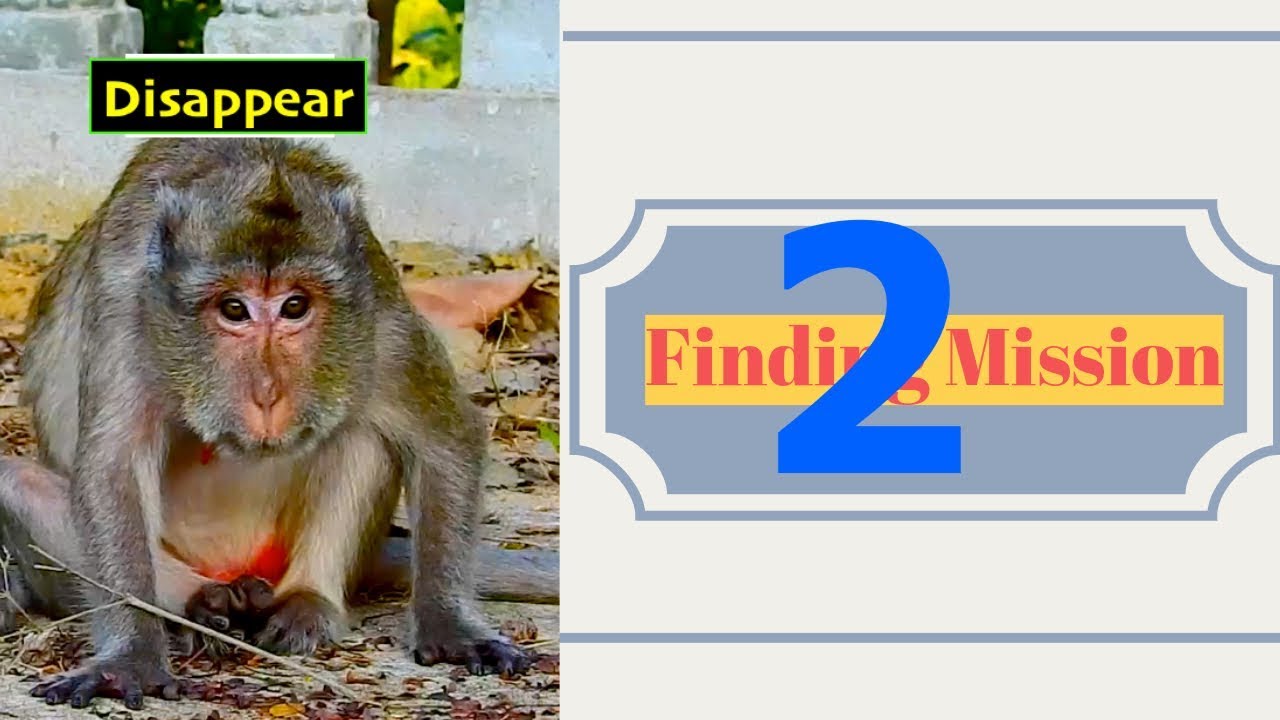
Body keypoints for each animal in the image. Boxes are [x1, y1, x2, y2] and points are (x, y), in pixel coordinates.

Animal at [0, 138, 558, 710]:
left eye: (295, 306)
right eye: (233, 308)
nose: (267, 393)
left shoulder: (376, 313)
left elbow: (445, 439)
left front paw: (449, 625)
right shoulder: (127, 307)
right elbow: (113, 469)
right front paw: (130, 655)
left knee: (363, 433)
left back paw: (307, 600)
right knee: (19, 483)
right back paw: (199, 603)